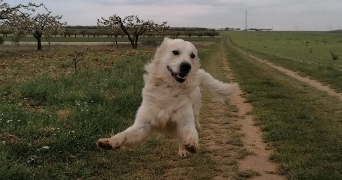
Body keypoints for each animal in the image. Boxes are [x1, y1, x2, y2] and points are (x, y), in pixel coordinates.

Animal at [97, 38, 238, 158]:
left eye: (192, 55)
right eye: (175, 52)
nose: (186, 66)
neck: (170, 89)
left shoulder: (185, 121)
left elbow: (191, 133)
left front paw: (192, 144)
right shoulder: (142, 125)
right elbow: (123, 135)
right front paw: (108, 142)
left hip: (195, 111)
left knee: (191, 128)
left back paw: (184, 148)